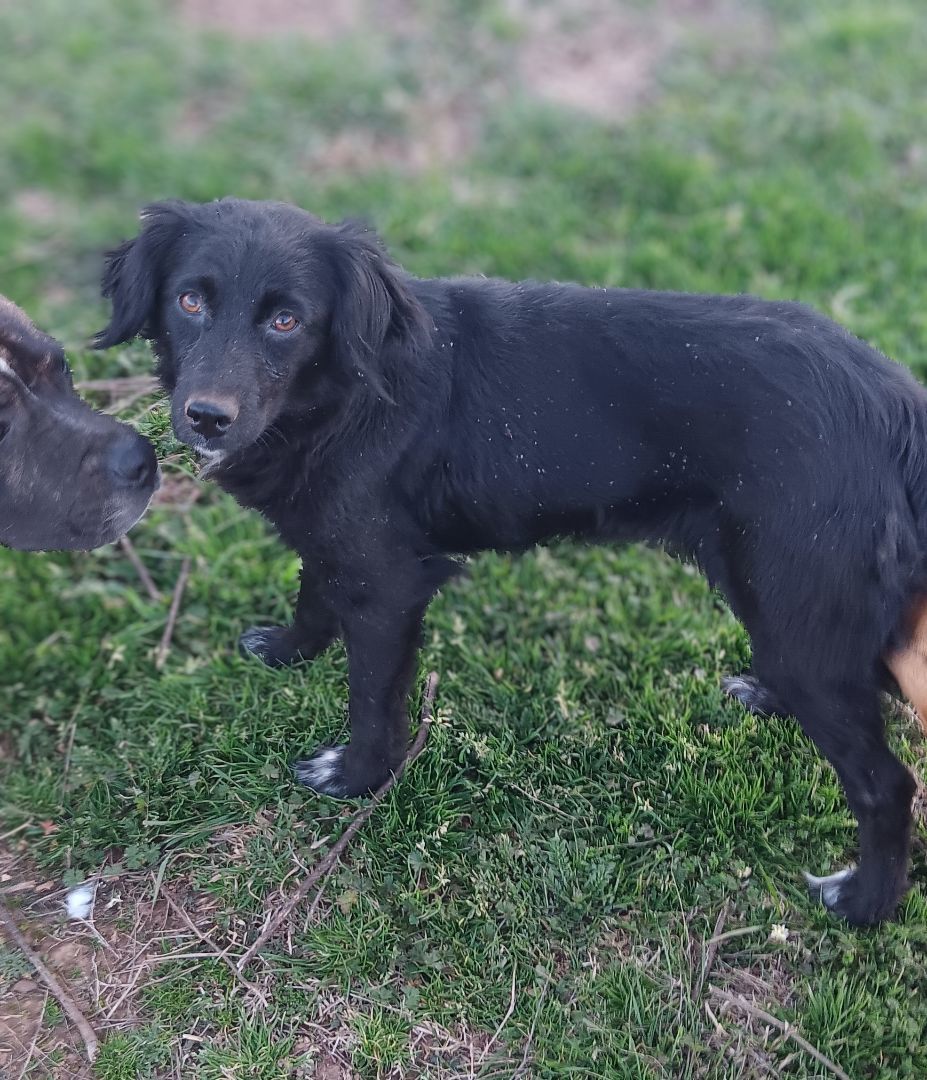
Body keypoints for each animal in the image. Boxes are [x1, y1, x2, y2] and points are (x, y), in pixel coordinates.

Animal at [97, 198, 920, 924]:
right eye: (189, 301)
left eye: (285, 320)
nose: (206, 418)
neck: (339, 400)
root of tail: (893, 400)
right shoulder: (337, 537)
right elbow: (311, 588)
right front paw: (289, 650)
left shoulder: (391, 584)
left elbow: (372, 699)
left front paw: (357, 778)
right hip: (777, 599)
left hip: (797, 602)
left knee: (888, 783)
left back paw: (864, 904)